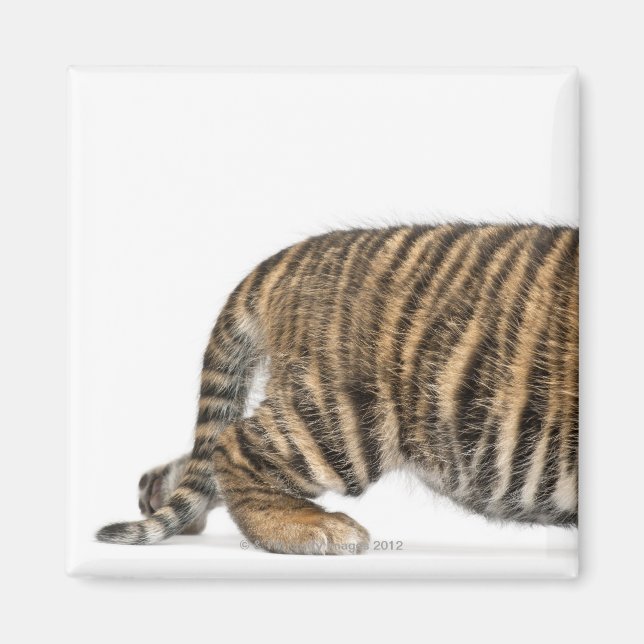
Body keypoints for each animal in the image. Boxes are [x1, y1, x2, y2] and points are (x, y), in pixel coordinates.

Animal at [96, 222, 579, 555]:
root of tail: (286, 259)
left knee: (204, 456)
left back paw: (159, 494)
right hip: (344, 419)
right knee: (233, 445)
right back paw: (312, 528)